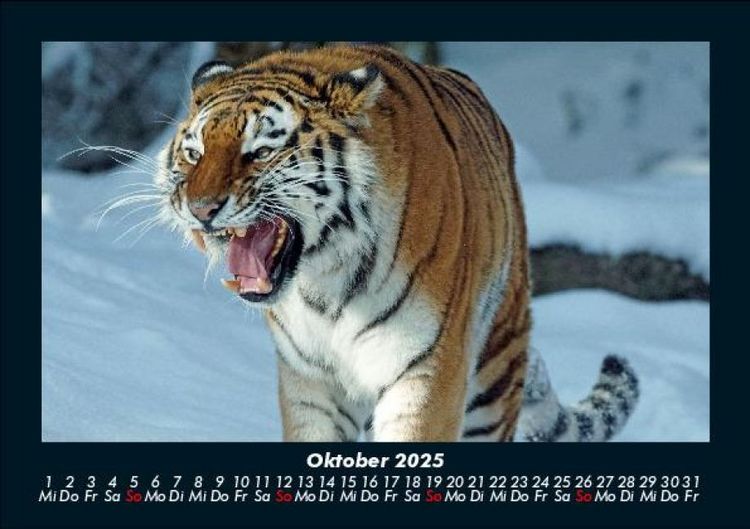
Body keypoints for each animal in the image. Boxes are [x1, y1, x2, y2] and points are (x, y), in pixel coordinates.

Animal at [155, 44, 639, 442]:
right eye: (194, 154)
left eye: (259, 152)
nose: (200, 208)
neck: (324, 280)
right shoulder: (310, 382)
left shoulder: (427, 371)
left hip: (495, 372)